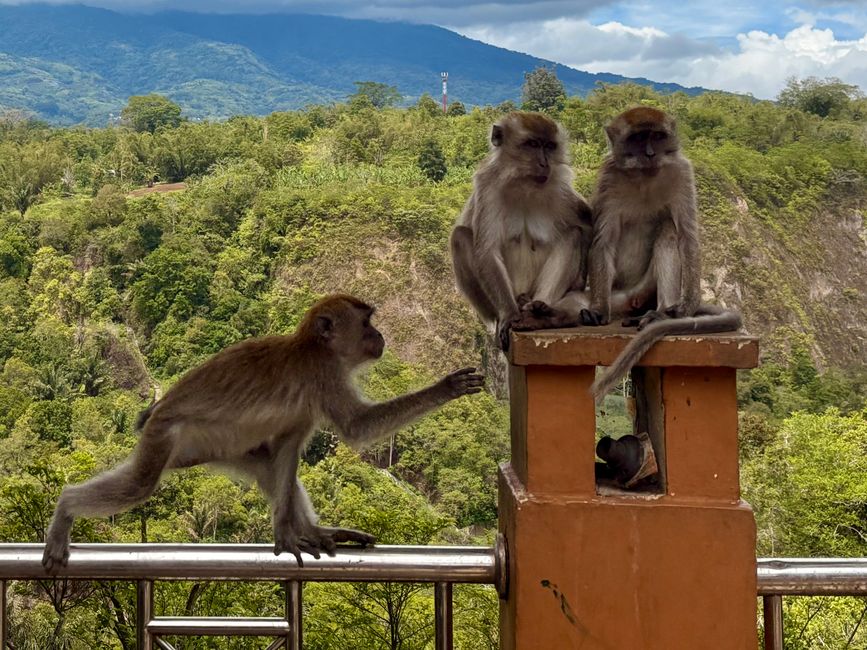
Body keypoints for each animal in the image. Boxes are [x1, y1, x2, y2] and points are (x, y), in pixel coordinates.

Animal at [42, 295, 484, 571]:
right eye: (365, 322)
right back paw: (65, 509)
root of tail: (157, 408)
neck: (314, 347)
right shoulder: (324, 377)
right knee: (139, 485)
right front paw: (447, 387)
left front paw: (297, 533)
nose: (379, 335)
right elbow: (356, 428)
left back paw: (315, 529)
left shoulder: (306, 405)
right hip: (167, 434)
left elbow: (286, 452)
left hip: (215, 445)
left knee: (266, 467)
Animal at [449, 111, 594, 351]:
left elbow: (587, 223)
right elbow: (487, 251)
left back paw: (541, 314)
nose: (544, 163)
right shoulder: (487, 187)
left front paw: (578, 286)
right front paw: (508, 315)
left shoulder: (560, 188)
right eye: (532, 144)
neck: (524, 184)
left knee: (573, 235)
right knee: (459, 237)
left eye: (549, 146)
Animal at [581, 107, 742, 399]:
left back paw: (660, 313)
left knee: (668, 228)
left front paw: (687, 305)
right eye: (637, 138)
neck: (644, 175)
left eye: (656, 136)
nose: (649, 154)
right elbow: (602, 242)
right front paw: (598, 309)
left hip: (647, 288)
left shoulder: (681, 172)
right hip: (621, 292)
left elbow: (687, 236)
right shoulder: (608, 177)